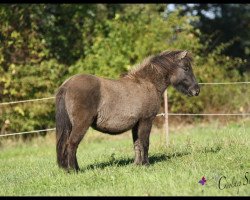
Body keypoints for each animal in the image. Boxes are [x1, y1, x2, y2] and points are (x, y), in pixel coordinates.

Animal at [55, 49, 200, 170]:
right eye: (186, 68)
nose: (196, 90)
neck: (147, 83)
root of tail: (66, 85)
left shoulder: (136, 124)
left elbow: (137, 144)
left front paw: (137, 164)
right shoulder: (146, 121)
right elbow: (145, 143)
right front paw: (146, 164)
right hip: (81, 125)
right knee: (72, 144)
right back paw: (74, 170)